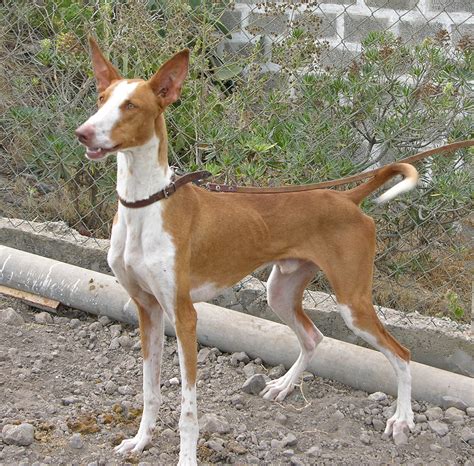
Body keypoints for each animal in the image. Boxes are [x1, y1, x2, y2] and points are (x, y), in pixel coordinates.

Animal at [76, 38, 416, 464]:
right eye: (101, 99)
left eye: (131, 106)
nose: (82, 133)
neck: (146, 203)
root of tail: (347, 198)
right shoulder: (146, 308)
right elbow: (149, 390)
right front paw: (140, 441)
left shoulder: (184, 316)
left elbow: (188, 408)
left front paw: (186, 456)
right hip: (281, 291)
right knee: (313, 337)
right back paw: (284, 385)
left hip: (352, 303)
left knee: (402, 354)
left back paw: (402, 419)